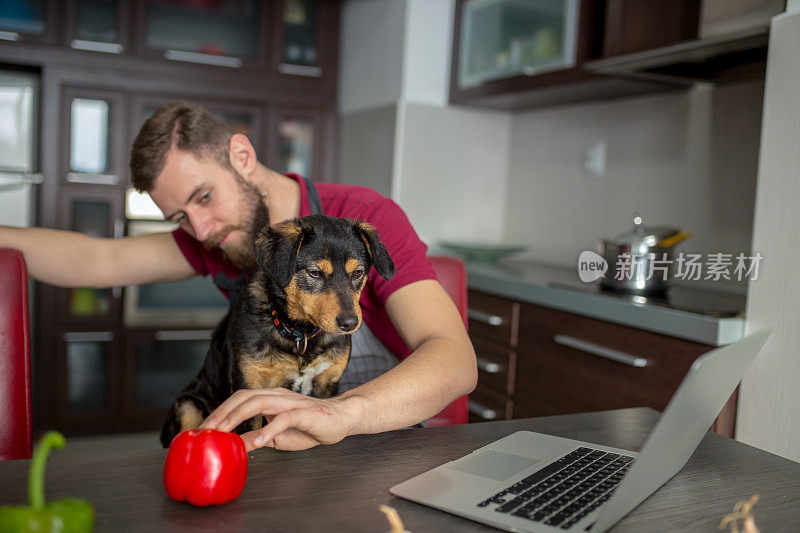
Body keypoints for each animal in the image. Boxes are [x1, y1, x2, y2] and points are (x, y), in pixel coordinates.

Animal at [159, 214, 394, 446]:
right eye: (315, 272)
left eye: (358, 272)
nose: (350, 323)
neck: (300, 334)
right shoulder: (249, 389)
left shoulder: (327, 383)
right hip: (187, 405)